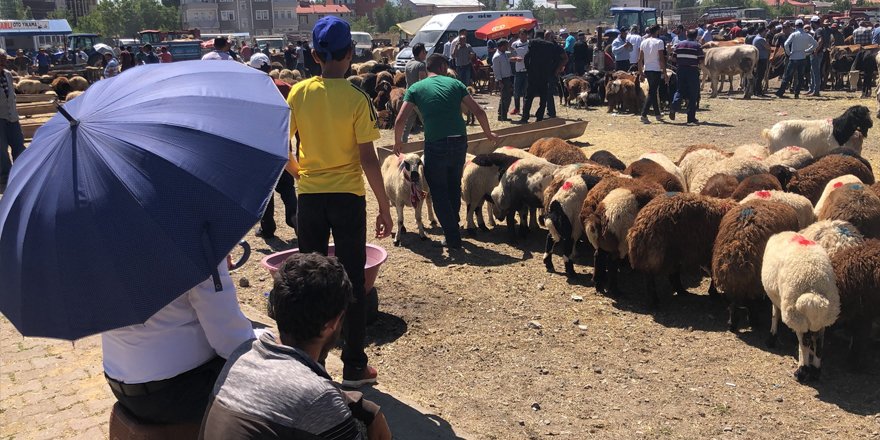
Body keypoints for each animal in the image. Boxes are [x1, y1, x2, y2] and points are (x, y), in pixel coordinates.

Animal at [712, 199, 800, 330]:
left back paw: (732, 324)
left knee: (734, 303)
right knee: (750, 303)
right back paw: (753, 322)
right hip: (754, 281)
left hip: (733, 285)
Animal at [760, 230, 844, 382]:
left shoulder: (775, 298)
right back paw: (815, 371)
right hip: (823, 319)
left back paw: (802, 371)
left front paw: (771, 338)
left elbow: (774, 315)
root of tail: (813, 292)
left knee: (804, 343)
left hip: (796, 314)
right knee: (819, 344)